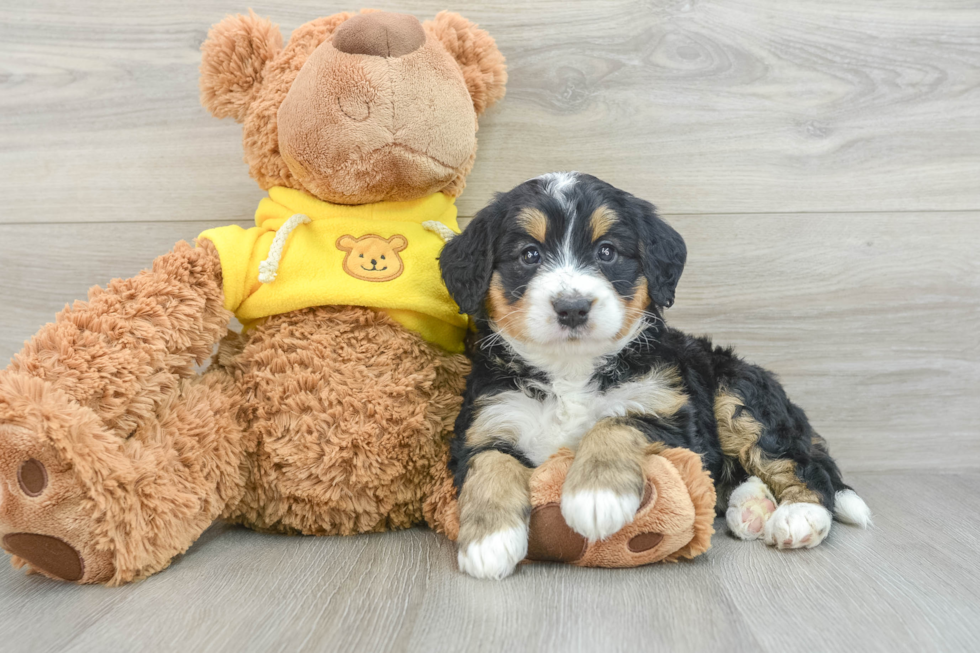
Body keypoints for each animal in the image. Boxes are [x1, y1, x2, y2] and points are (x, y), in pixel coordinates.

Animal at [440, 171, 868, 580]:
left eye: (607, 251)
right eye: (529, 255)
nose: (573, 307)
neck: (571, 368)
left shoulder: (669, 414)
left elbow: (616, 422)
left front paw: (596, 495)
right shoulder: (487, 422)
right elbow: (490, 467)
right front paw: (489, 542)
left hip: (736, 395)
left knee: (801, 464)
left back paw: (798, 516)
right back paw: (752, 508)